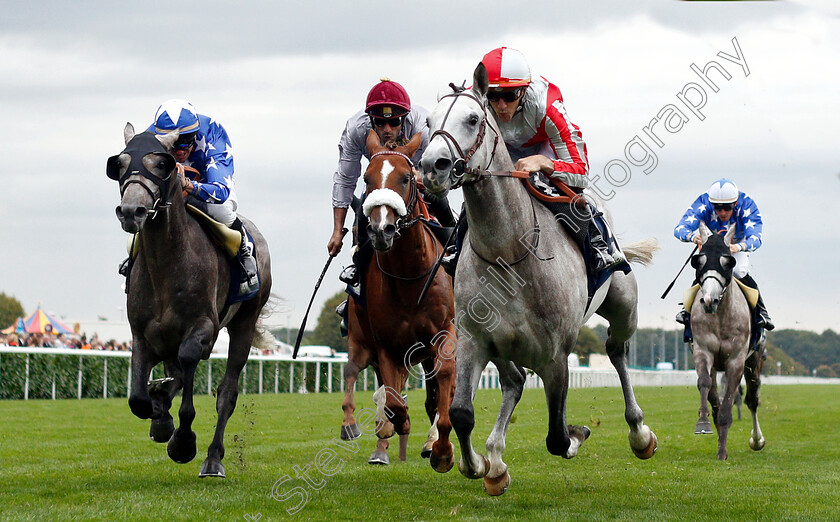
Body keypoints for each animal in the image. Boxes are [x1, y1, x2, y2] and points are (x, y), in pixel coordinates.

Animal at [340, 129, 456, 468]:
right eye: (367, 178)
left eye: (406, 178)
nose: (381, 229)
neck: (409, 277)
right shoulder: (385, 345)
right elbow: (391, 398)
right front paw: (393, 424)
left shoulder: (445, 333)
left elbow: (445, 383)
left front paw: (440, 448)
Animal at [418, 63, 656, 494]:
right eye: (428, 123)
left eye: (473, 119)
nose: (432, 167)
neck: (508, 252)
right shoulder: (474, 340)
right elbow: (461, 413)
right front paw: (478, 464)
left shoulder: (555, 355)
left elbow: (558, 436)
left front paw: (580, 433)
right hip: (502, 347)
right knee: (513, 383)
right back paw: (495, 459)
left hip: (624, 309)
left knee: (617, 351)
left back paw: (640, 433)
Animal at [684, 221, 764, 458]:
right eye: (699, 261)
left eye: (728, 262)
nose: (709, 300)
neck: (720, 317)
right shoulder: (702, 351)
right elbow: (705, 385)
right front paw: (703, 424)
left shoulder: (736, 360)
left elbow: (730, 401)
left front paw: (723, 450)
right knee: (714, 397)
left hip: (754, 360)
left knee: (752, 399)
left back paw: (757, 440)